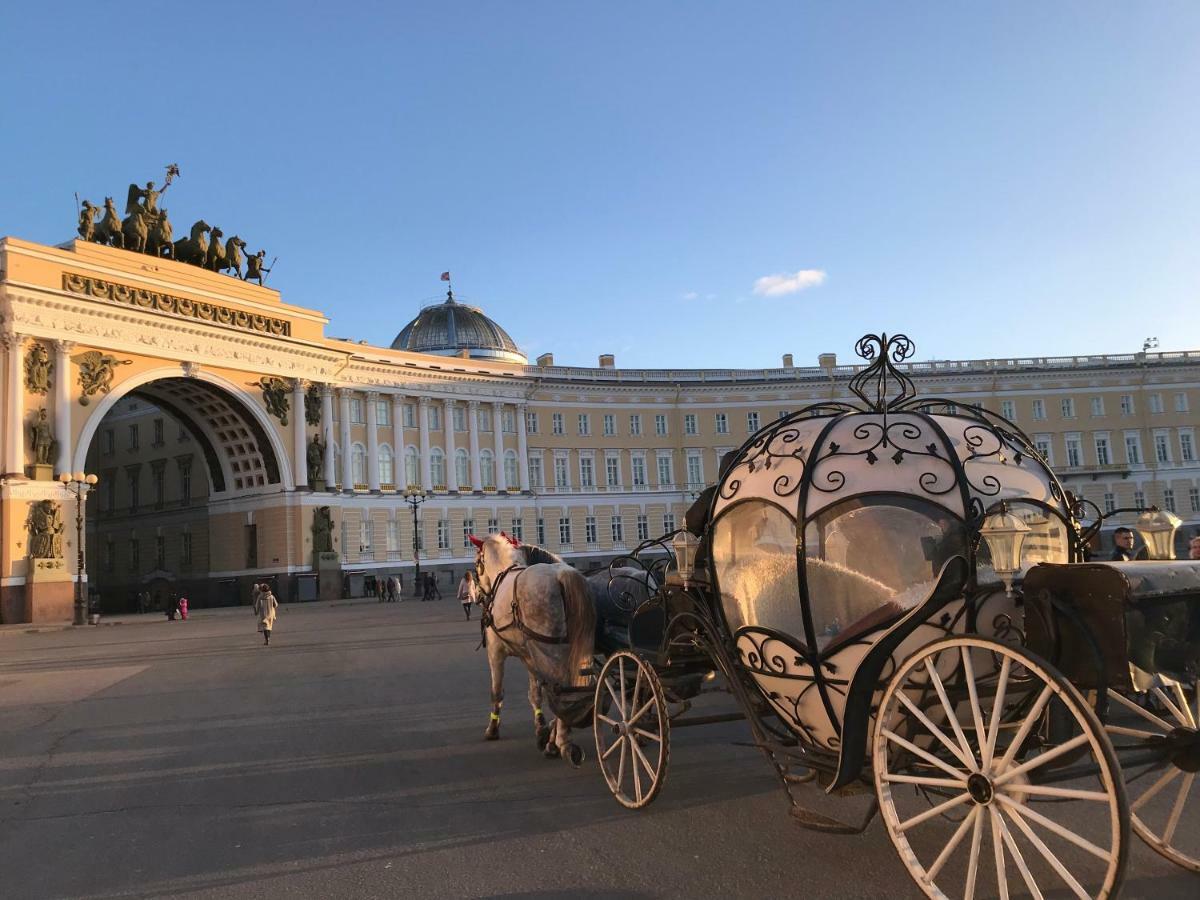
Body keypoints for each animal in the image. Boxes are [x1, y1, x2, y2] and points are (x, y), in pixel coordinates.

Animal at [470, 535, 597, 768]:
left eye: (476, 564)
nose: (479, 596)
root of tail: (562, 576)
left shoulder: (495, 651)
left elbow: (496, 692)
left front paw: (492, 729)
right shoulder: (528, 655)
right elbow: (535, 693)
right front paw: (541, 727)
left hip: (551, 650)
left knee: (562, 690)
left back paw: (562, 743)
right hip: (571, 649)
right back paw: (556, 739)